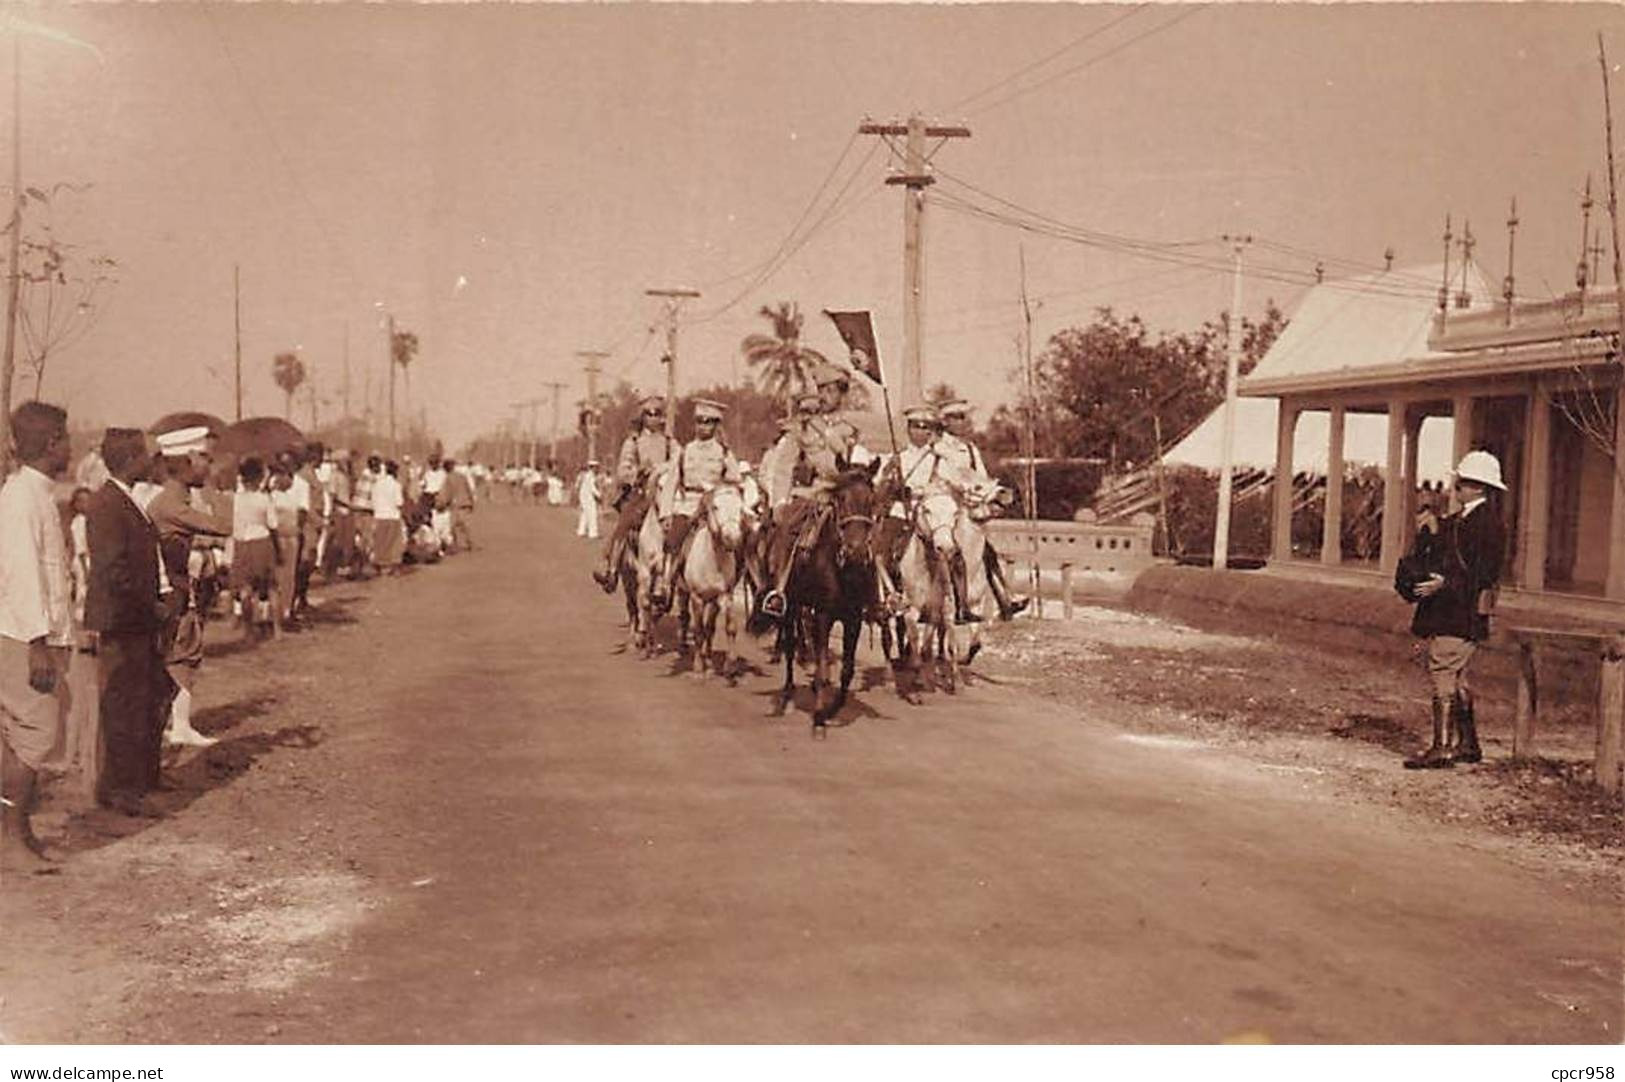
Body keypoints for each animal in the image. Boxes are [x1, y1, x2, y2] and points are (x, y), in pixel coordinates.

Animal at [754, 464, 884, 734]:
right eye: (839, 499)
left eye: (871, 501)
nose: (856, 552)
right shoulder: (823, 615)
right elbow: (823, 668)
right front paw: (818, 720)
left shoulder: (853, 619)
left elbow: (847, 670)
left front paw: (831, 709)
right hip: (791, 605)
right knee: (790, 645)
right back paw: (787, 693)